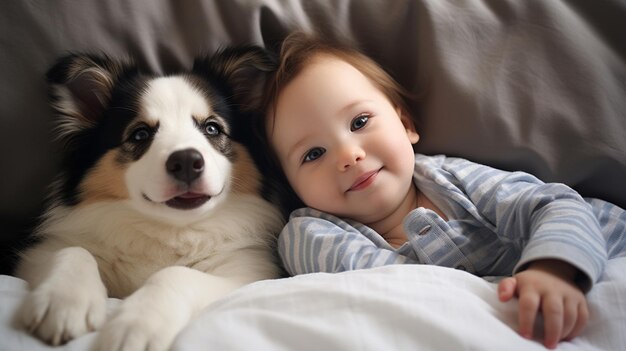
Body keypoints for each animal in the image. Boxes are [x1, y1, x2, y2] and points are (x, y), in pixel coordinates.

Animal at [15, 47, 282, 351]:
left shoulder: (247, 270)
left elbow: (176, 274)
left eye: (212, 128)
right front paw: (64, 303)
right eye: (140, 134)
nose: (186, 162)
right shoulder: (35, 255)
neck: (169, 229)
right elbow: (73, 250)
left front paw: (136, 325)